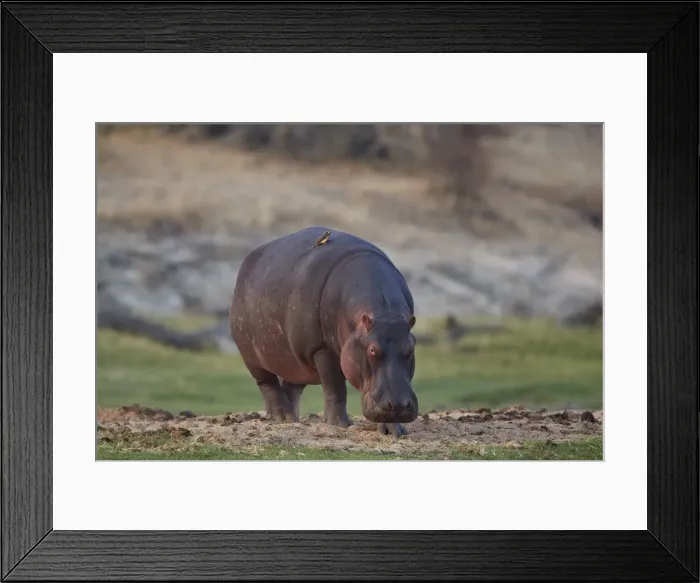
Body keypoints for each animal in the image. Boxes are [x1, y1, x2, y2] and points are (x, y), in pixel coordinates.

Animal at [229, 226, 419, 437]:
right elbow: (335, 388)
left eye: (411, 349)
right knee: (268, 384)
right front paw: (339, 425)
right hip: (251, 356)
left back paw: (291, 420)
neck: (383, 312)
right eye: (372, 350)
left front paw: (395, 430)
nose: (399, 406)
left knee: (291, 387)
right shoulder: (321, 348)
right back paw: (281, 417)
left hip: (296, 361)